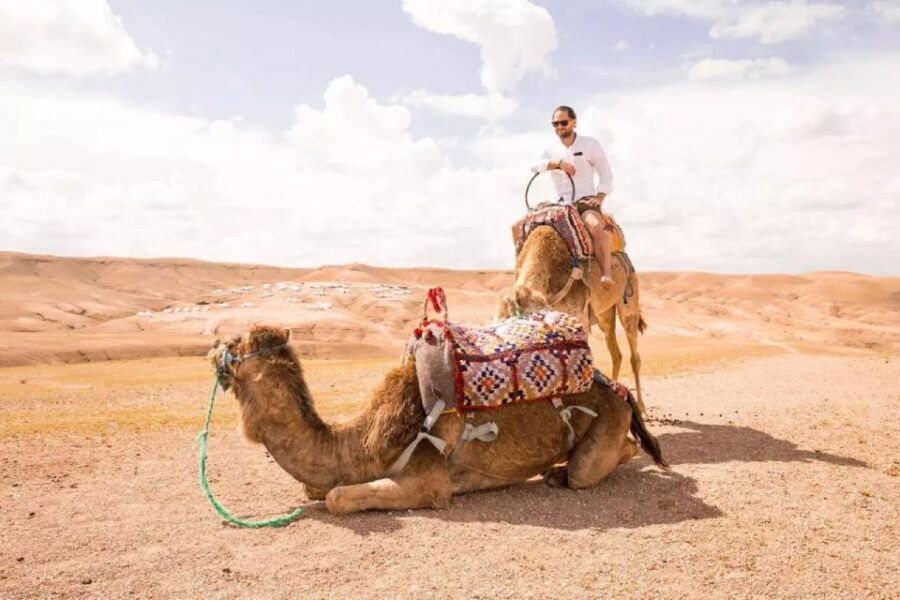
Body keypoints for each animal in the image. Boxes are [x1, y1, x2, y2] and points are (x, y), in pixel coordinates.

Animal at [207, 326, 665, 515]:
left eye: (234, 343)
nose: (211, 347)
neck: (360, 443)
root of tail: (615, 388)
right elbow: (316, 487)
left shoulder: (428, 480)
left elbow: (337, 497)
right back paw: (555, 470)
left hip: (606, 425)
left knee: (590, 468)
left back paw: (561, 473)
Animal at [497, 225, 648, 414]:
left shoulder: (578, 315)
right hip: (604, 314)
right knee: (616, 353)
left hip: (629, 300)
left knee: (634, 354)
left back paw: (641, 407)